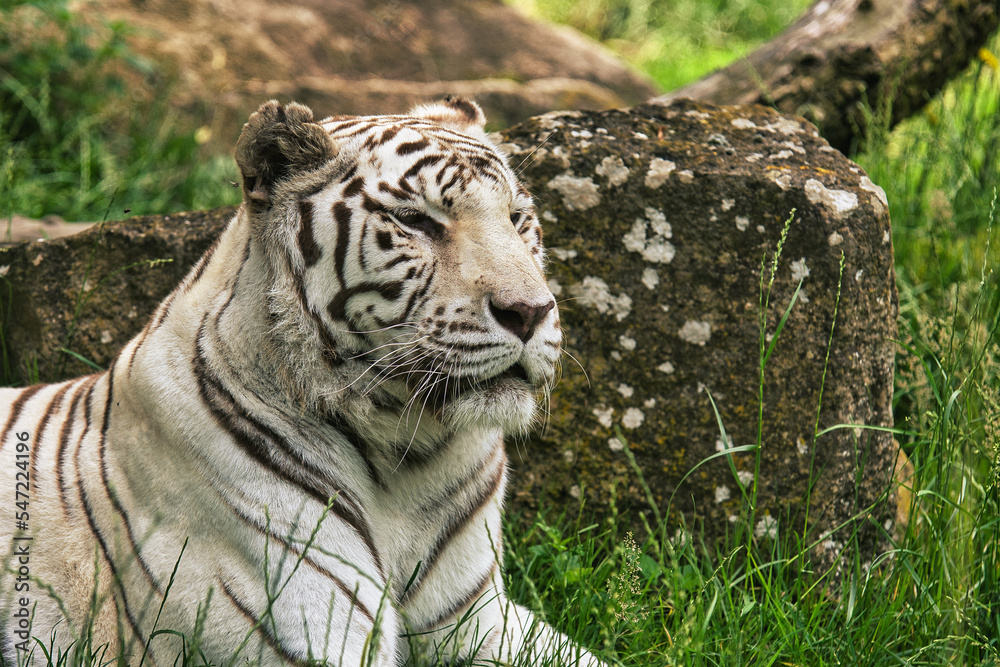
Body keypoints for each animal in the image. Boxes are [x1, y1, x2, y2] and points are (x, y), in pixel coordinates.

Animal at [0, 98, 603, 666]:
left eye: (518, 217)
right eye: (415, 220)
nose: (531, 311)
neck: (410, 459)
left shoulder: (485, 620)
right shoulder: (310, 630)